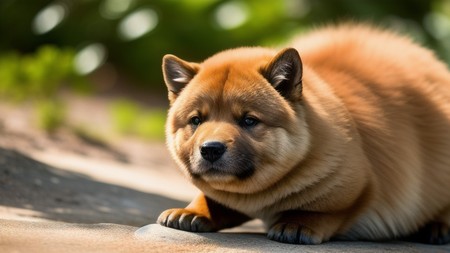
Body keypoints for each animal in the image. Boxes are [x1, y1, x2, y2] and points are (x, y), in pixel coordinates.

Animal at [156, 24, 450, 244]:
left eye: (249, 120)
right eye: (196, 120)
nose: (211, 149)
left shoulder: (360, 185)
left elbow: (320, 209)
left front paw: (296, 224)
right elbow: (213, 199)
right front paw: (192, 211)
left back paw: (439, 227)